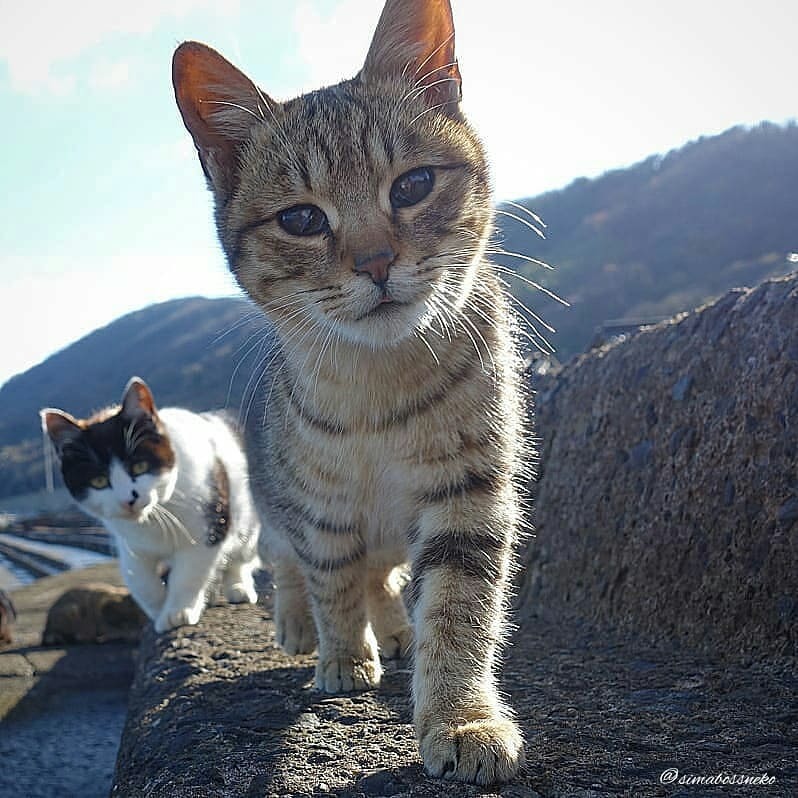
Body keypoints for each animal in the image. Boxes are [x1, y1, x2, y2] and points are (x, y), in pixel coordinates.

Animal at [41, 378, 260, 636]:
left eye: (140, 467)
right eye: (99, 481)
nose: (128, 499)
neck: (154, 518)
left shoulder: (209, 526)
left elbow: (188, 573)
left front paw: (177, 612)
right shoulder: (129, 542)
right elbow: (139, 580)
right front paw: (158, 611)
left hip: (248, 519)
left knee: (241, 555)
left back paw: (238, 587)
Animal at [172, 0, 528, 788]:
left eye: (412, 185)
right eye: (302, 219)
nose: (376, 262)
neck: (380, 389)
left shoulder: (467, 490)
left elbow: (457, 608)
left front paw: (461, 716)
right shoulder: (322, 510)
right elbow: (330, 579)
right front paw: (340, 655)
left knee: (385, 578)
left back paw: (394, 628)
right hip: (276, 503)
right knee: (294, 566)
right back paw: (305, 625)